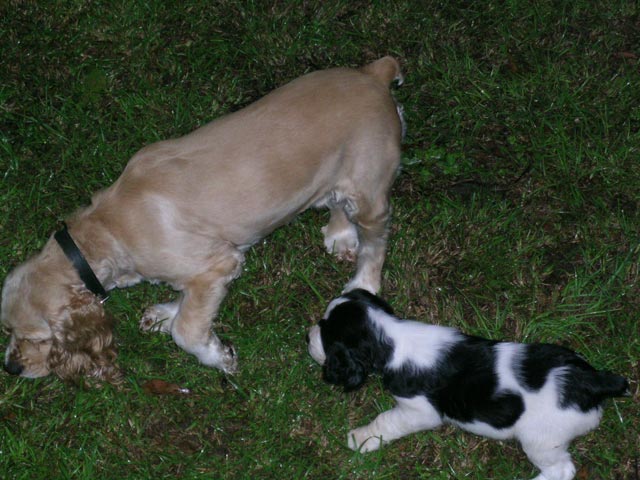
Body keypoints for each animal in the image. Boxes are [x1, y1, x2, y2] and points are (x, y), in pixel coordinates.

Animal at [0, 58, 402, 384]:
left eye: (36, 338)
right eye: (7, 330)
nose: (11, 368)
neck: (106, 228)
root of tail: (373, 74)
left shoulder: (216, 264)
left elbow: (188, 329)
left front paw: (217, 355)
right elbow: (187, 303)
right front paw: (164, 313)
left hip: (369, 191)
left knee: (375, 244)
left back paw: (362, 279)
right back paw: (340, 235)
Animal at [310, 288, 632, 480]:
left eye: (324, 332)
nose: (306, 336)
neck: (390, 338)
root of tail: (590, 381)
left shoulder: (419, 412)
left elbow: (385, 420)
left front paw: (360, 438)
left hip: (541, 440)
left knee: (562, 469)